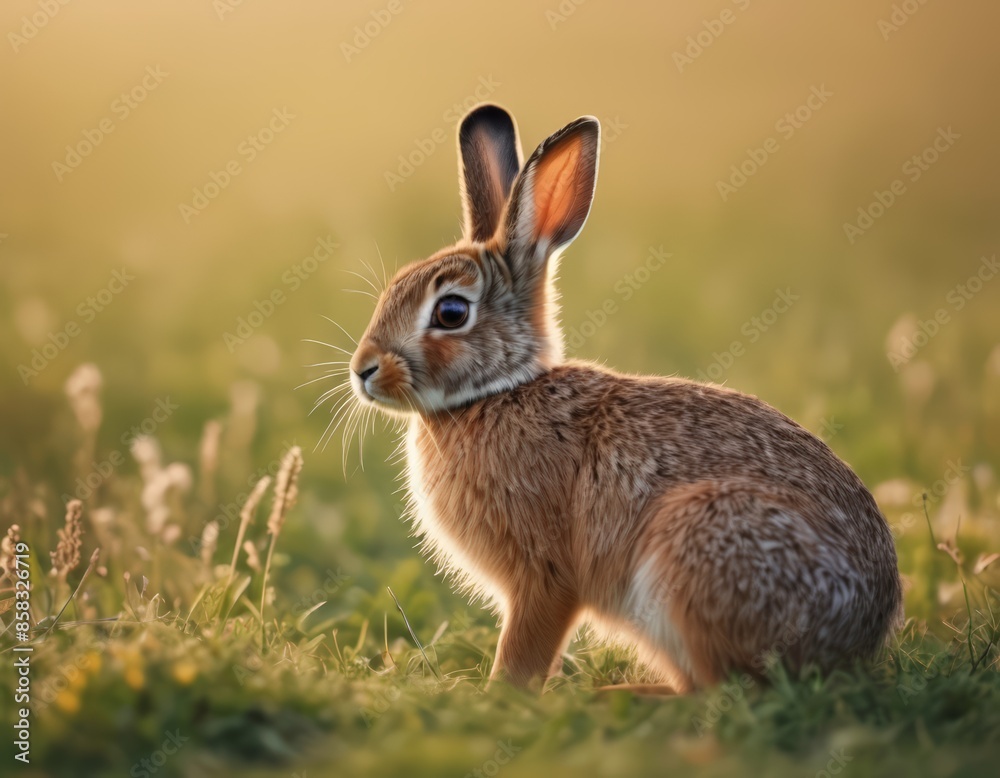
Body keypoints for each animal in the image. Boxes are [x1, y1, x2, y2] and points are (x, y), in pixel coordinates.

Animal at [347, 103, 903, 693]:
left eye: (451, 312)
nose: (363, 370)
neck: (500, 391)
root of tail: (858, 639)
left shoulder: (545, 577)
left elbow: (523, 650)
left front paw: (497, 696)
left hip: (698, 546)